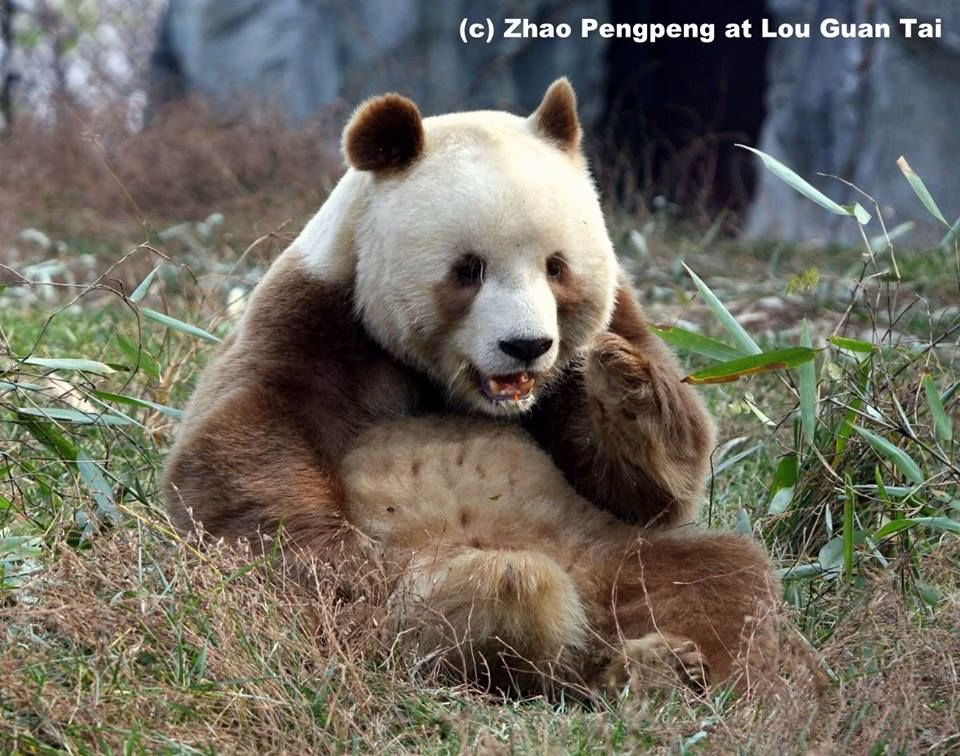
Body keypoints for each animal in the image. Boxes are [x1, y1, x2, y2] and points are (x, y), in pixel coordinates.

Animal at [163, 78, 778, 697]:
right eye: (469, 269)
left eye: (556, 267)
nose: (527, 345)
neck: (459, 388)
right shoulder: (314, 320)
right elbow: (240, 453)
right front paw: (333, 563)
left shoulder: (610, 327)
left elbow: (648, 487)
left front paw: (623, 377)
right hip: (422, 591)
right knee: (451, 607)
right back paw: (532, 615)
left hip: (613, 556)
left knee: (718, 582)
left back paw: (664, 669)